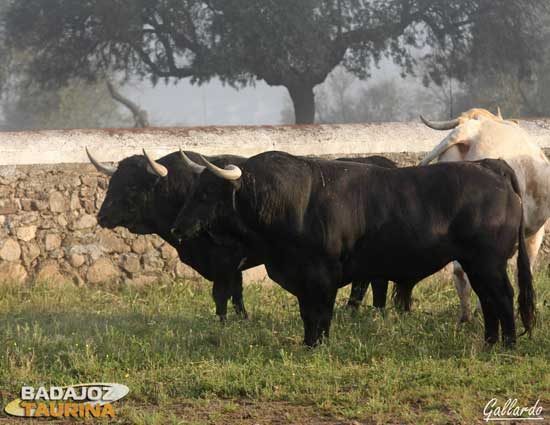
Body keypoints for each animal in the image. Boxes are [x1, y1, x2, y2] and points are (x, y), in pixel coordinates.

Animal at [174, 151, 540, 346]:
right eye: (192, 191)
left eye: (207, 193)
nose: (177, 228)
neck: (293, 201)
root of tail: (488, 166)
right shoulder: (301, 278)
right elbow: (307, 313)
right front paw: (308, 343)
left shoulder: (323, 274)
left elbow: (321, 313)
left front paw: (318, 345)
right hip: (476, 264)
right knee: (488, 300)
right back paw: (490, 342)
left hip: (489, 262)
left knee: (503, 297)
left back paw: (508, 344)